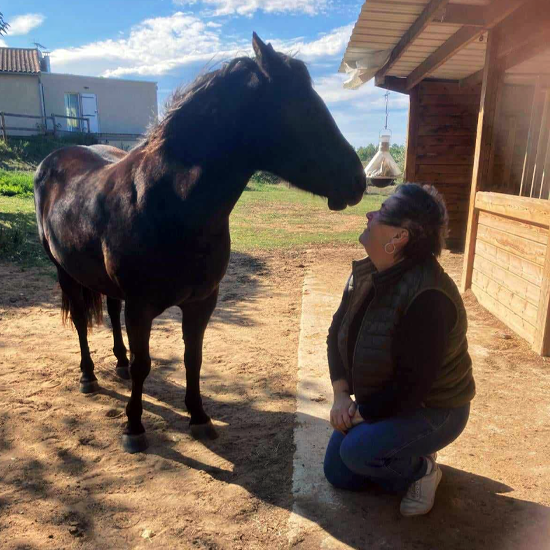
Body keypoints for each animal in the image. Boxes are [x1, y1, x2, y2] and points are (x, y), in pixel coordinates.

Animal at [36, 35, 368, 458]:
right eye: (304, 108)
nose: (359, 180)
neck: (169, 203)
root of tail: (52, 159)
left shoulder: (202, 301)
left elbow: (192, 358)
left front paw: (198, 417)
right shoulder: (141, 306)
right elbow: (146, 363)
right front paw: (134, 427)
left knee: (109, 312)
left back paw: (119, 364)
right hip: (63, 270)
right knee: (80, 320)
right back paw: (88, 376)